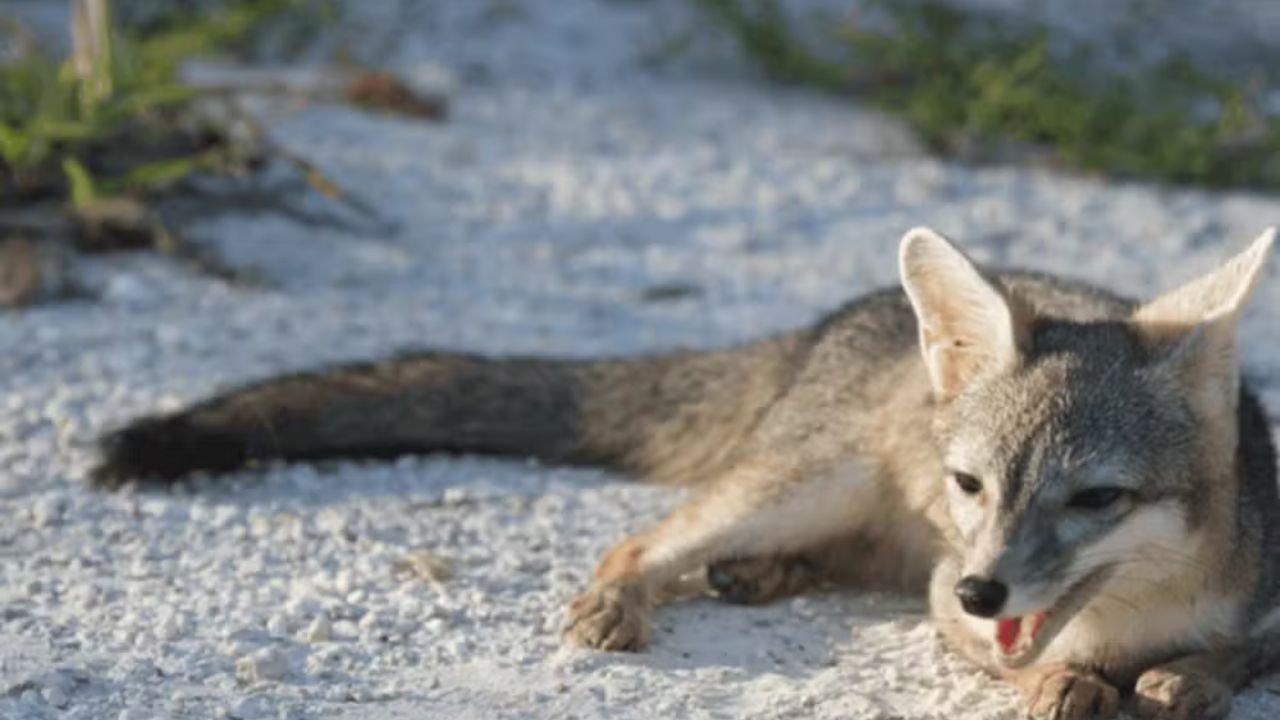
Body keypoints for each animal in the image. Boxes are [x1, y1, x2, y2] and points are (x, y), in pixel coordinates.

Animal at [90, 226, 1279, 720]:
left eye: (1096, 500)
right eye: (971, 487)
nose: (988, 588)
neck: (1132, 620)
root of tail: (836, 319)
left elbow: (1244, 652)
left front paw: (1189, 676)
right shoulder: (947, 595)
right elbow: (1017, 658)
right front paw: (1058, 680)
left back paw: (765, 577)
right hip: (799, 486)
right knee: (646, 539)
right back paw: (637, 593)